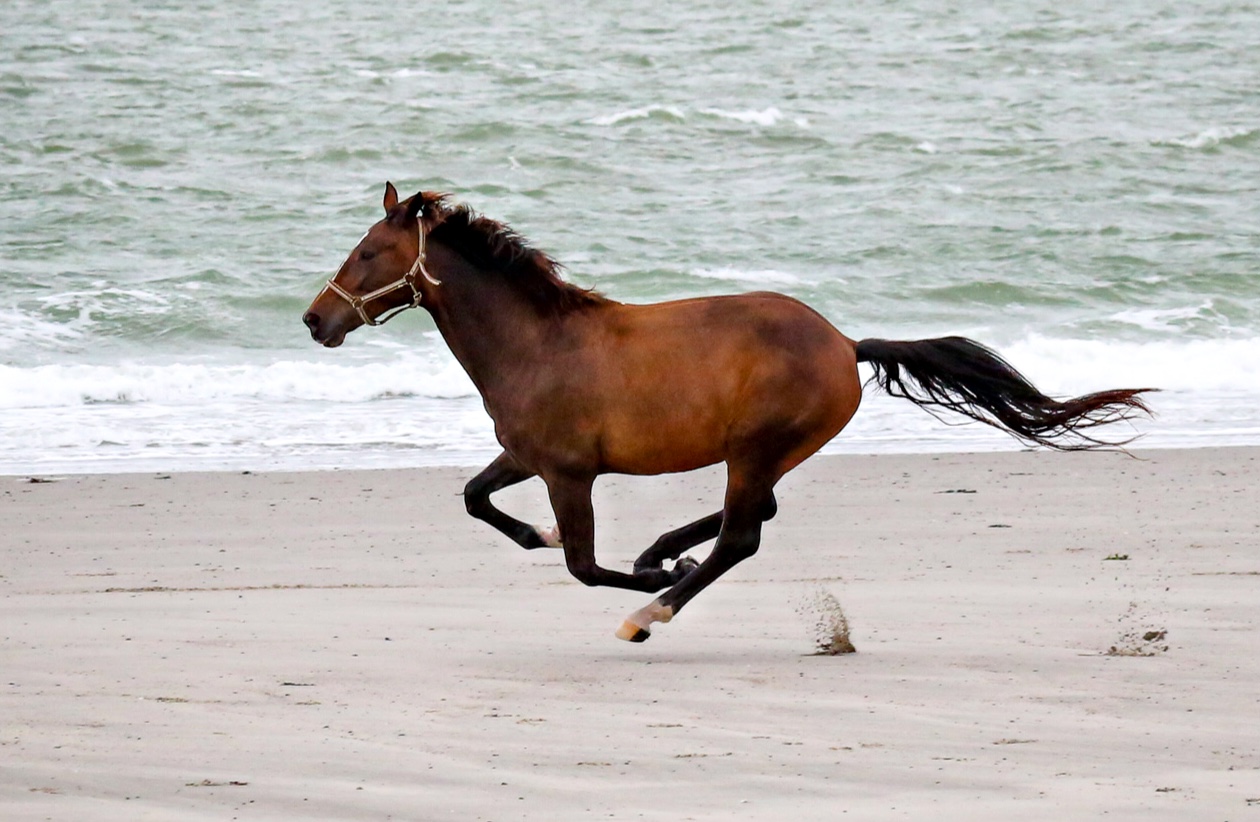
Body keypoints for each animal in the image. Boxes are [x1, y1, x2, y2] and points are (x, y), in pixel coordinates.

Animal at [302, 181, 1154, 642]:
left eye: (368, 253)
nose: (315, 321)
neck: (537, 344)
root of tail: (845, 343)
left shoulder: (569, 473)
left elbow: (583, 567)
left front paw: (632, 586)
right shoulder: (527, 457)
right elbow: (477, 499)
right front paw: (549, 538)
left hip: (757, 446)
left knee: (743, 535)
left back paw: (654, 607)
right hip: (764, 452)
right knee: (755, 515)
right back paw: (661, 556)